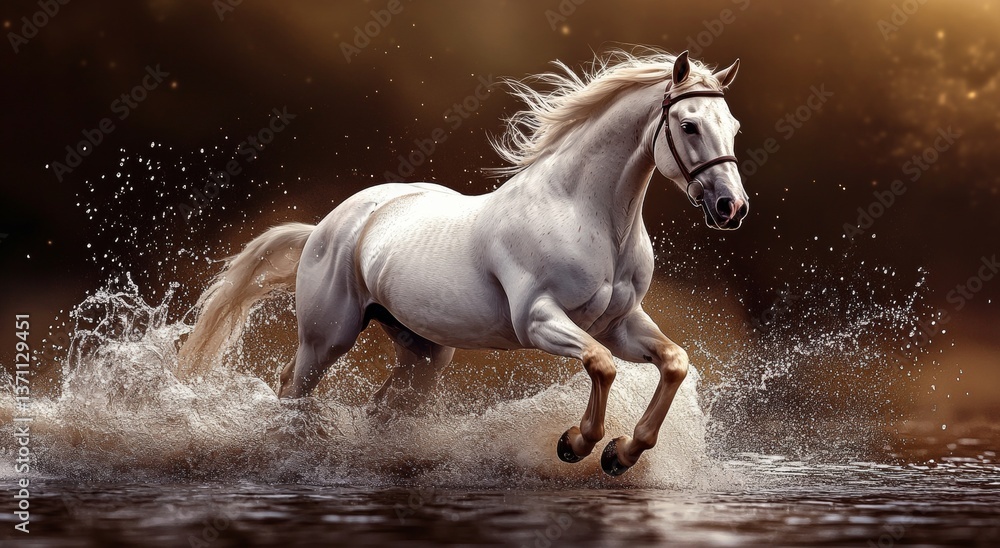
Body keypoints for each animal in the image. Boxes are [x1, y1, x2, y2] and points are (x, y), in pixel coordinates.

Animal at [178, 49, 748, 477]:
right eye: (690, 125)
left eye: (734, 126)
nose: (731, 207)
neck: (586, 212)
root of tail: (328, 224)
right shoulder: (539, 319)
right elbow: (602, 365)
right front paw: (575, 443)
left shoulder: (619, 323)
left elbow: (674, 362)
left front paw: (620, 455)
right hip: (326, 339)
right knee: (291, 388)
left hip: (424, 352)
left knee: (381, 409)